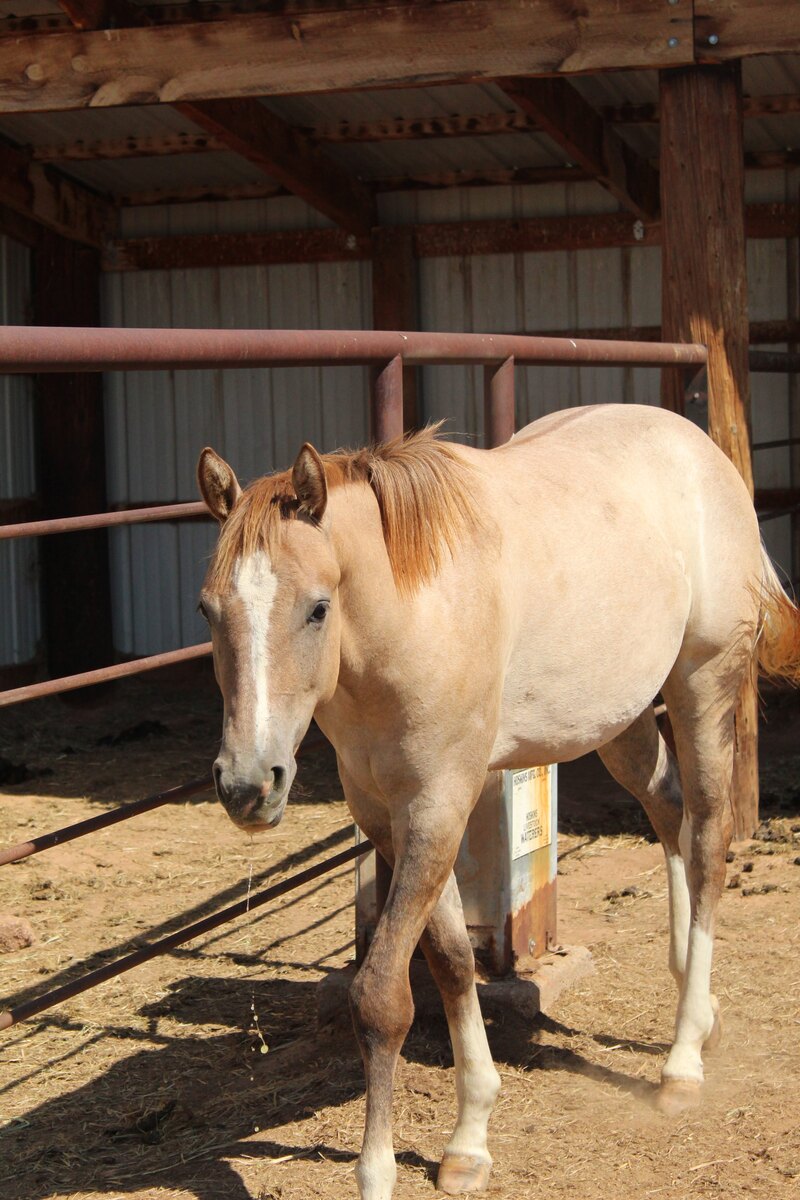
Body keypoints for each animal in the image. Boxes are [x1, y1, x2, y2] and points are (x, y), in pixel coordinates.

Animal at [196, 403, 800, 1200]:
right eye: (210, 610)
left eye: (318, 608)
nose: (247, 785)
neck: (414, 610)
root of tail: (700, 448)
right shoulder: (387, 816)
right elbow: (454, 962)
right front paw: (470, 1138)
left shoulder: (438, 807)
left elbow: (383, 997)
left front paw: (377, 1170)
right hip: (623, 721)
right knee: (669, 812)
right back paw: (698, 1013)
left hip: (703, 685)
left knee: (707, 844)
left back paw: (682, 1066)